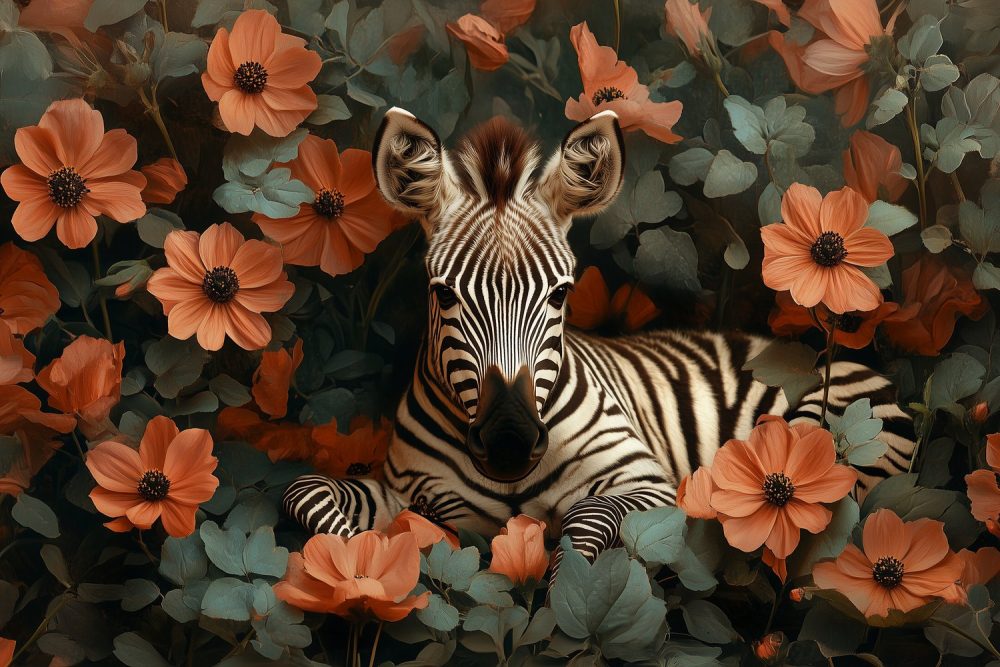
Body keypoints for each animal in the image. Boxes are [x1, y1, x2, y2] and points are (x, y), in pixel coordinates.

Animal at [283, 107, 915, 561]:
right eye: (443, 295)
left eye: (559, 295)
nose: (509, 444)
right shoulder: (403, 489)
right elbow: (304, 490)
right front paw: (357, 560)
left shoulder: (645, 478)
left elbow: (588, 521)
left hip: (828, 432)